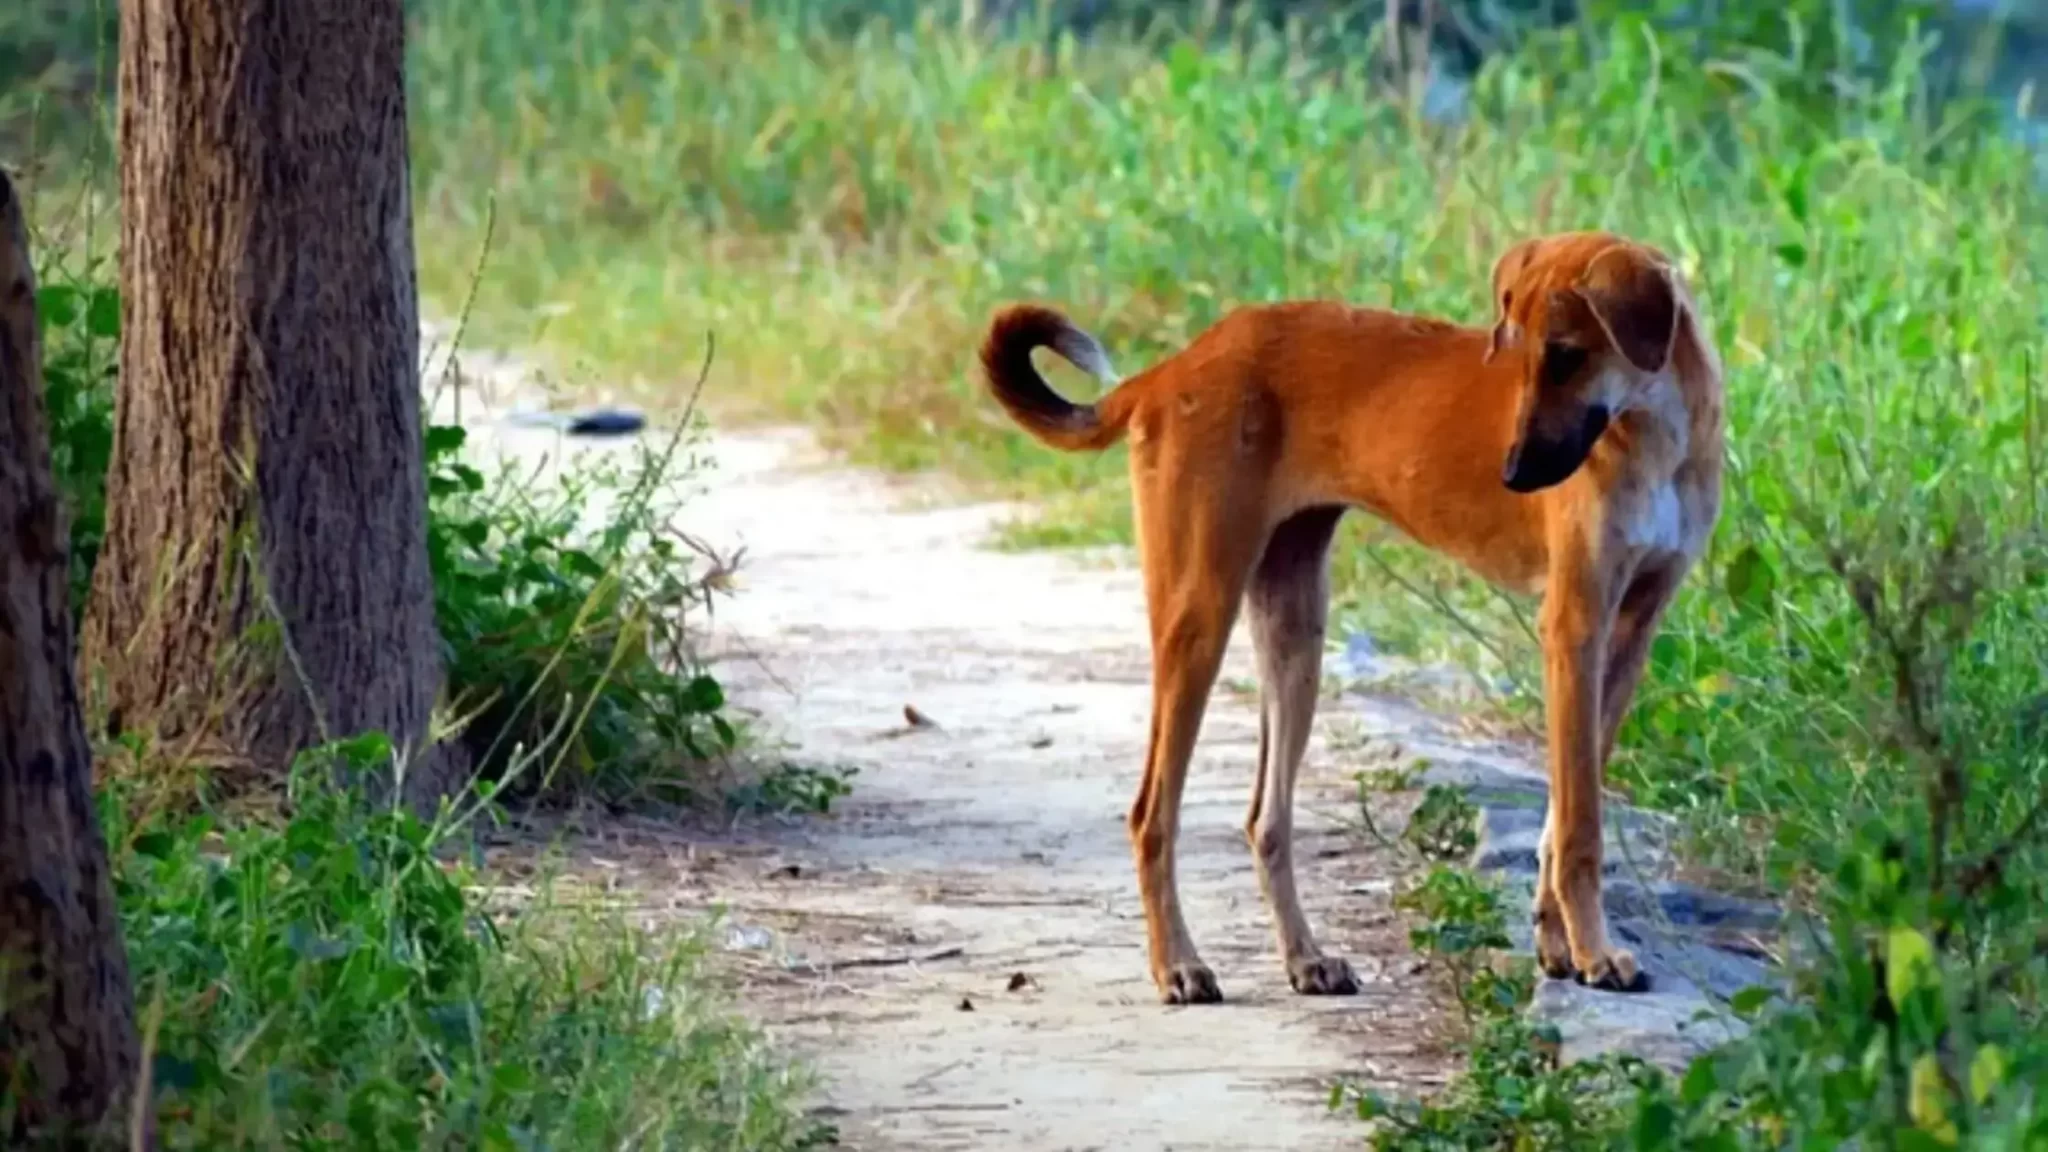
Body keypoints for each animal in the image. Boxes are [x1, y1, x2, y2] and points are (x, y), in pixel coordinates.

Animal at [983, 230, 1720, 996]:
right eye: (1515, 353)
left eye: (1569, 354)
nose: (1512, 474)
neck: (1653, 435)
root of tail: (1169, 369)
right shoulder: (1574, 628)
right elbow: (1578, 825)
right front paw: (1594, 951)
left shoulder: (1629, 635)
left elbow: (1561, 814)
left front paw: (1558, 944)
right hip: (1198, 614)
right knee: (1151, 815)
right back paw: (1179, 965)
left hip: (1295, 632)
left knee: (1266, 819)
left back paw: (1305, 957)